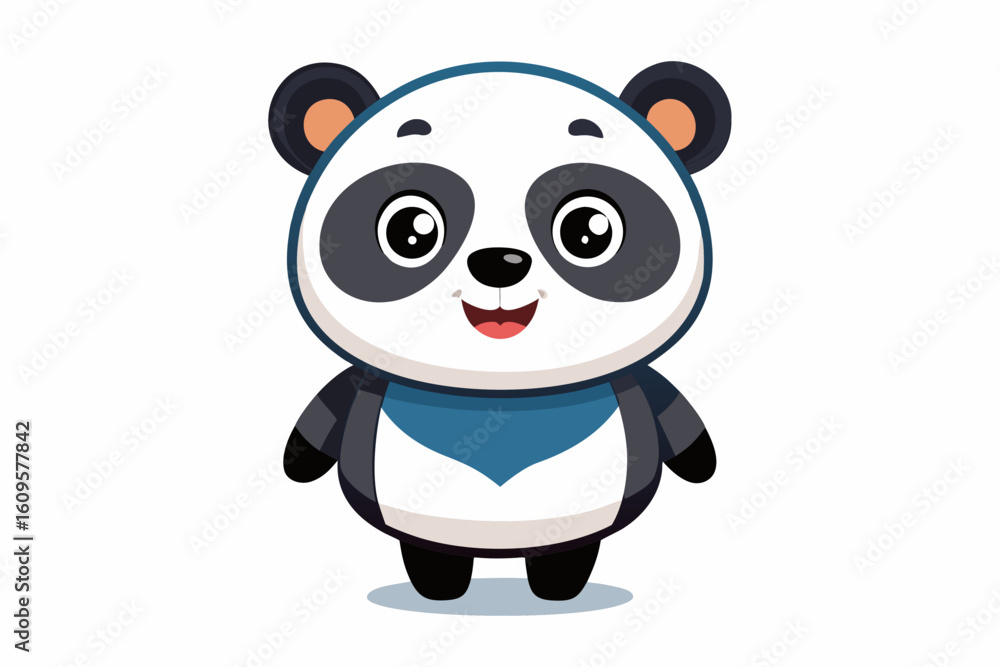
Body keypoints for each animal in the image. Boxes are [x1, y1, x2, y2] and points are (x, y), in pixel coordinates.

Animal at [270, 61, 731, 601]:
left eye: (589, 230)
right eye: (410, 230)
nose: (499, 262)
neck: (500, 393)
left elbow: (676, 417)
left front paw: (703, 464)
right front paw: (295, 462)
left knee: (566, 550)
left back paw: (558, 587)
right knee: (433, 551)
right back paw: (439, 586)